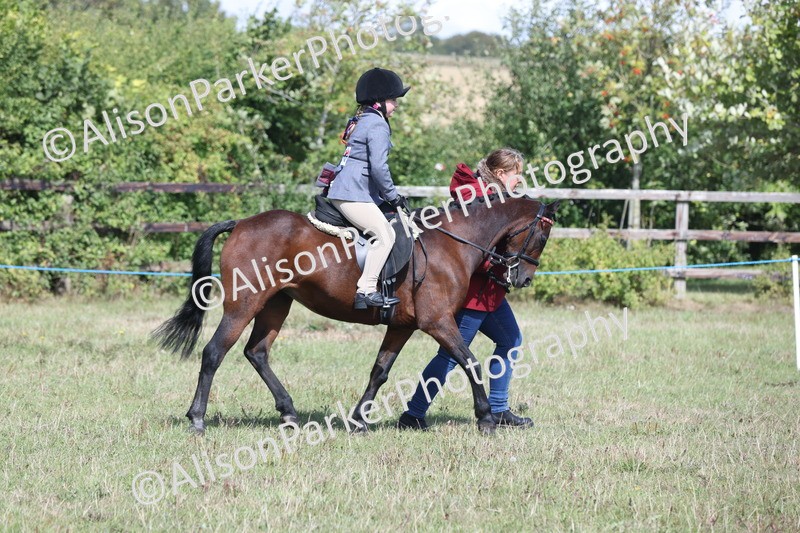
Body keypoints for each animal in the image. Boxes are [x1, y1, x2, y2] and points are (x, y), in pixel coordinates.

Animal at [153, 191, 559, 435]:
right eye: (542, 236)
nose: (522, 278)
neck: (451, 244)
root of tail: (241, 223)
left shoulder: (402, 326)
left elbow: (380, 371)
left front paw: (359, 420)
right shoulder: (438, 323)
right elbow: (470, 361)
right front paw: (486, 418)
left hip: (276, 305)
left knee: (257, 353)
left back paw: (288, 412)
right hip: (244, 303)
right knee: (214, 353)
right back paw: (197, 418)